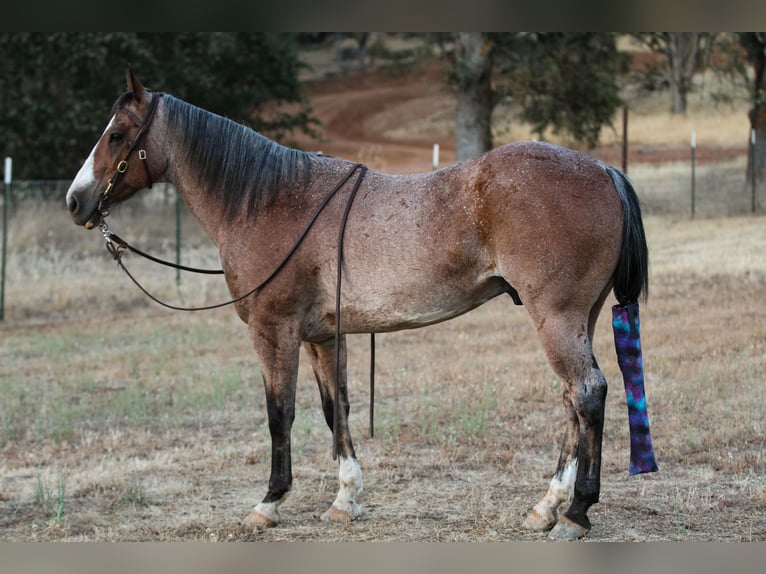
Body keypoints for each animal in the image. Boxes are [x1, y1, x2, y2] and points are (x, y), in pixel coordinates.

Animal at [69, 70, 652, 544]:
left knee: (588, 393)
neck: (270, 201)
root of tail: (603, 170)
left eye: (116, 135)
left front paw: (268, 503)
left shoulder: (274, 330)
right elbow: (337, 409)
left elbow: (280, 413)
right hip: (578, 319)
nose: (76, 201)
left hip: (556, 319)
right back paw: (546, 507)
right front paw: (345, 499)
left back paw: (576, 513)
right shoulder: (322, 335)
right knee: (572, 401)